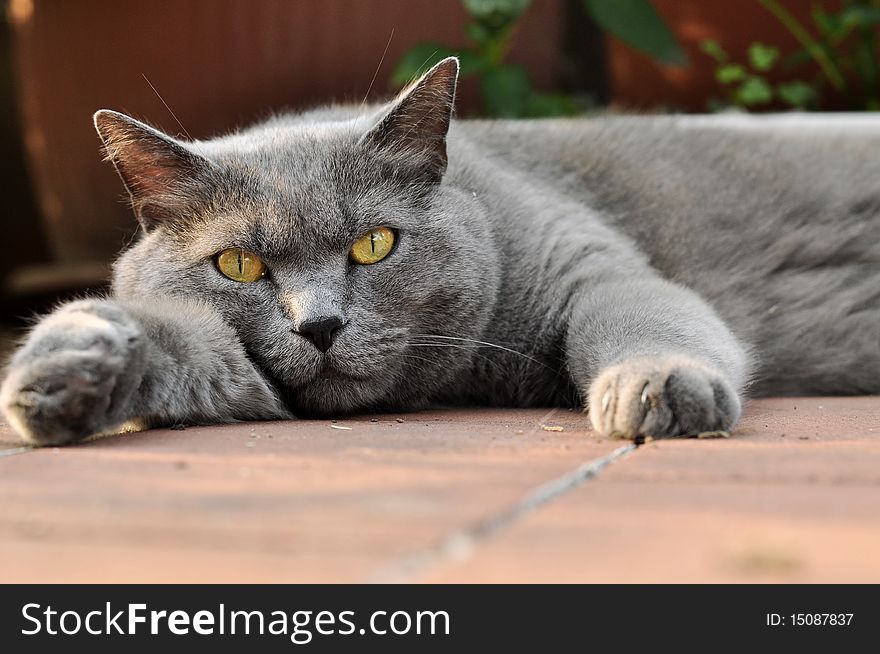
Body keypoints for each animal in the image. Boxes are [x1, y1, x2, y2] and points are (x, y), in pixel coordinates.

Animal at [1, 59, 880, 446]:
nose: (320, 326)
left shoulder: (589, 265)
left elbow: (640, 313)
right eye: (239, 265)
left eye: (375, 243)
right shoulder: (245, 368)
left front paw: (659, 386)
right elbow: (195, 349)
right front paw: (70, 364)